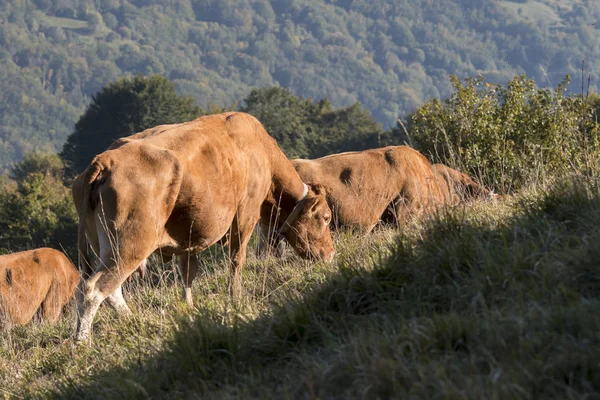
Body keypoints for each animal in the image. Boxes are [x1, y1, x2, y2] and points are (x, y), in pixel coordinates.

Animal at [72, 111, 336, 342]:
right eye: (325, 217)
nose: (331, 253)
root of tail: (105, 160)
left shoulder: (186, 236)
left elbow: (187, 272)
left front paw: (188, 308)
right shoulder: (246, 213)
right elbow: (236, 259)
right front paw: (235, 298)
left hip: (106, 245)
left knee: (111, 291)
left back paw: (133, 320)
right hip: (132, 244)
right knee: (93, 289)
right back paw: (82, 342)